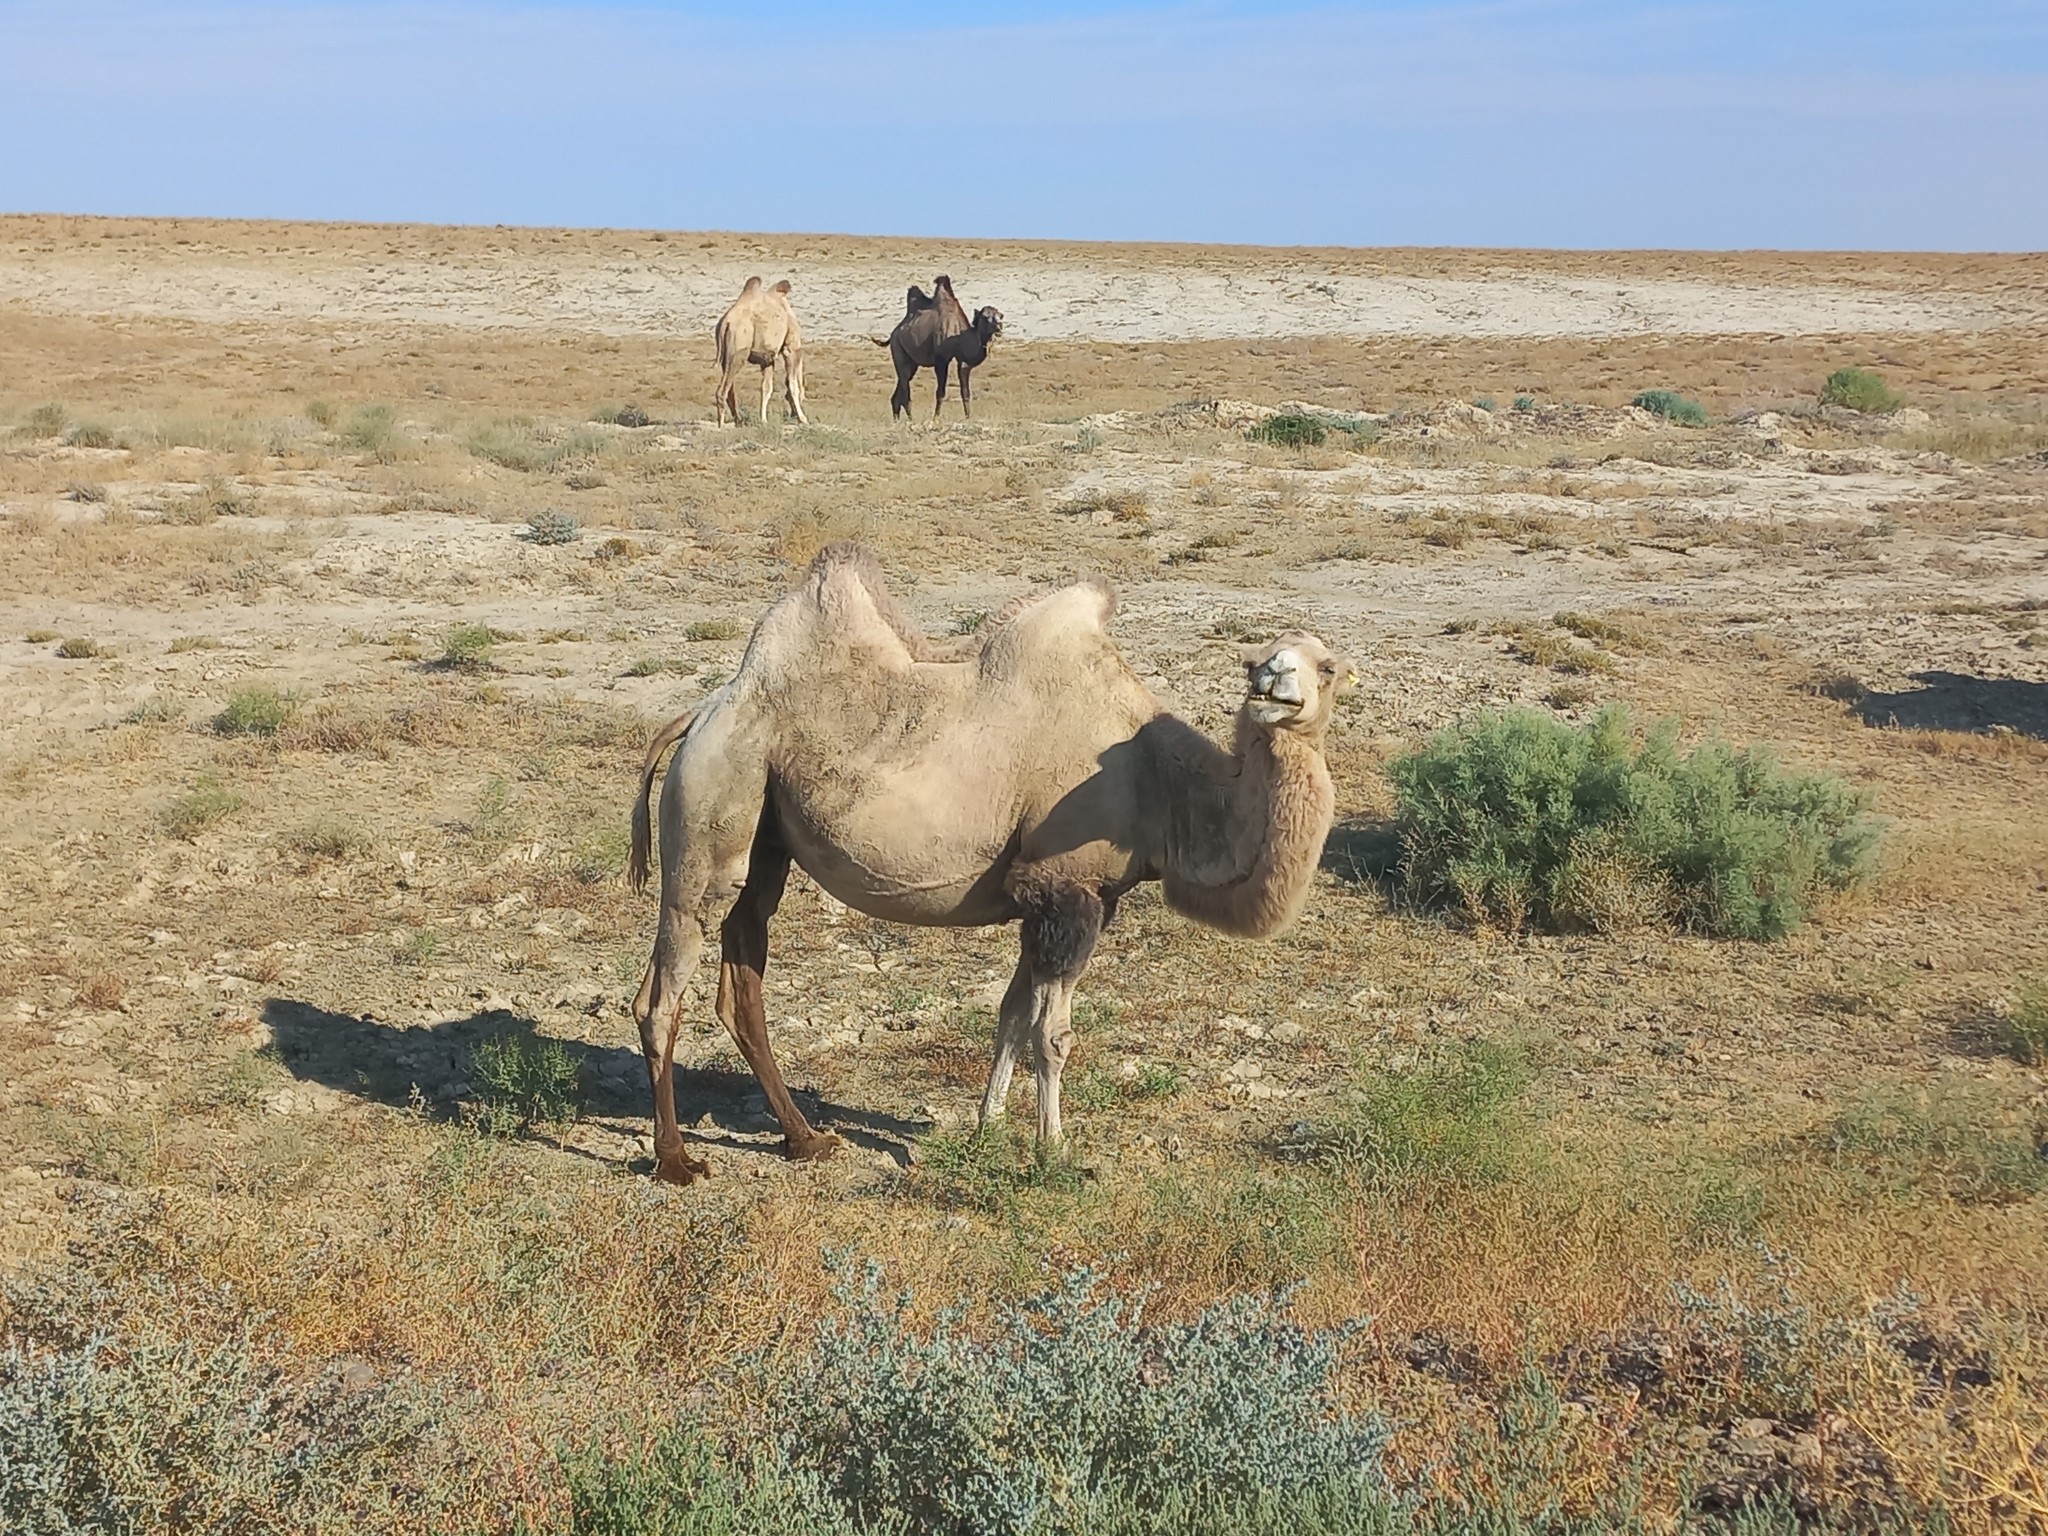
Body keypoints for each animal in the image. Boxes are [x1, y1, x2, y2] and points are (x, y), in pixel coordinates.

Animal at [630, 548, 1351, 1187]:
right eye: (1259, 661)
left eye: (1327, 666)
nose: (1274, 683)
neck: (1160, 782)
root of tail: (699, 713)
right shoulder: (1065, 889)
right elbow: (1052, 1033)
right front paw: (1056, 1153)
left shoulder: (1061, 898)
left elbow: (1010, 1016)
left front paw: (988, 1127)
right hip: (712, 803)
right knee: (664, 987)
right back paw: (676, 1161)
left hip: (767, 835)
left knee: (741, 971)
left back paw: (806, 1139)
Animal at [712, 278, 806, 430]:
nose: (792, 415)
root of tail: (726, 322)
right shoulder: (791, 348)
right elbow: (793, 385)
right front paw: (803, 419)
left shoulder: (767, 358)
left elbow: (766, 389)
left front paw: (763, 421)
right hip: (739, 352)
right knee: (722, 390)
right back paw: (721, 424)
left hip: (726, 356)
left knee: (729, 388)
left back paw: (738, 421)